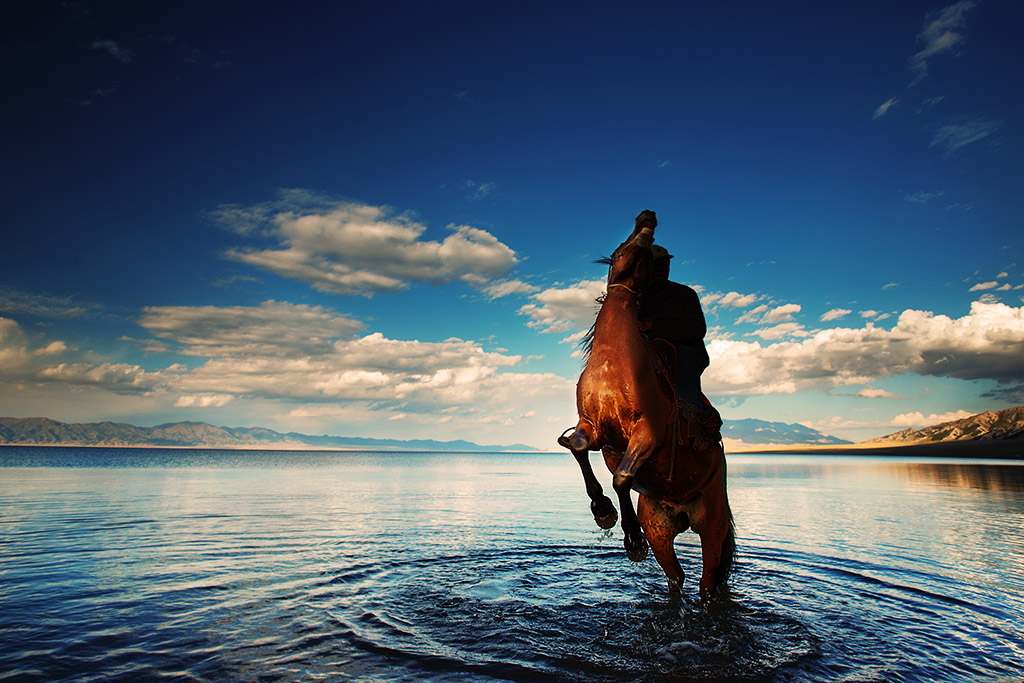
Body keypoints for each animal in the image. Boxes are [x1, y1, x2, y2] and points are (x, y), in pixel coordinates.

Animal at [561, 210, 737, 602]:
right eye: (621, 246)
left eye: (643, 247)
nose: (647, 216)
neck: (614, 362)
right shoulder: (591, 427)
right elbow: (578, 448)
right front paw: (602, 511)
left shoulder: (647, 432)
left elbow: (622, 477)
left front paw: (630, 539)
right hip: (661, 532)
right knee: (677, 579)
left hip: (712, 528)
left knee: (707, 585)